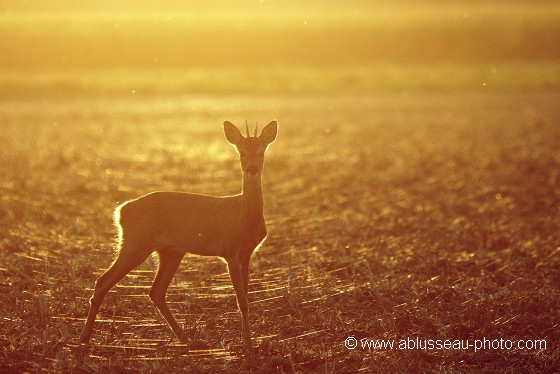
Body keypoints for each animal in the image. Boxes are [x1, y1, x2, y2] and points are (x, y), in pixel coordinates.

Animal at [79, 120, 278, 350]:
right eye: (241, 152)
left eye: (262, 152)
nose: (252, 169)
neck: (244, 217)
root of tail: (120, 210)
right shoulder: (229, 251)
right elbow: (241, 301)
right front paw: (247, 342)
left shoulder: (246, 253)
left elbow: (246, 298)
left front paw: (248, 338)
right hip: (135, 244)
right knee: (103, 281)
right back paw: (84, 338)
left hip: (170, 251)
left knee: (156, 291)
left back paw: (185, 337)